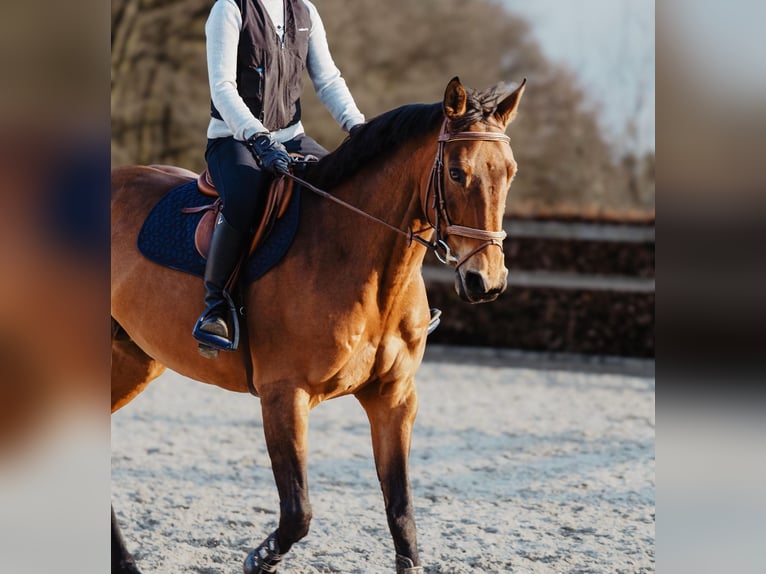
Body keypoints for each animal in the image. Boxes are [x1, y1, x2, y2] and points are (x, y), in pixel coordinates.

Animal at [111, 76, 525, 574]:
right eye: (458, 173)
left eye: (510, 172)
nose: (487, 281)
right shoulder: (284, 396)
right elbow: (298, 513)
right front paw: (258, 560)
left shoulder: (393, 398)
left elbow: (402, 513)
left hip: (132, 361)